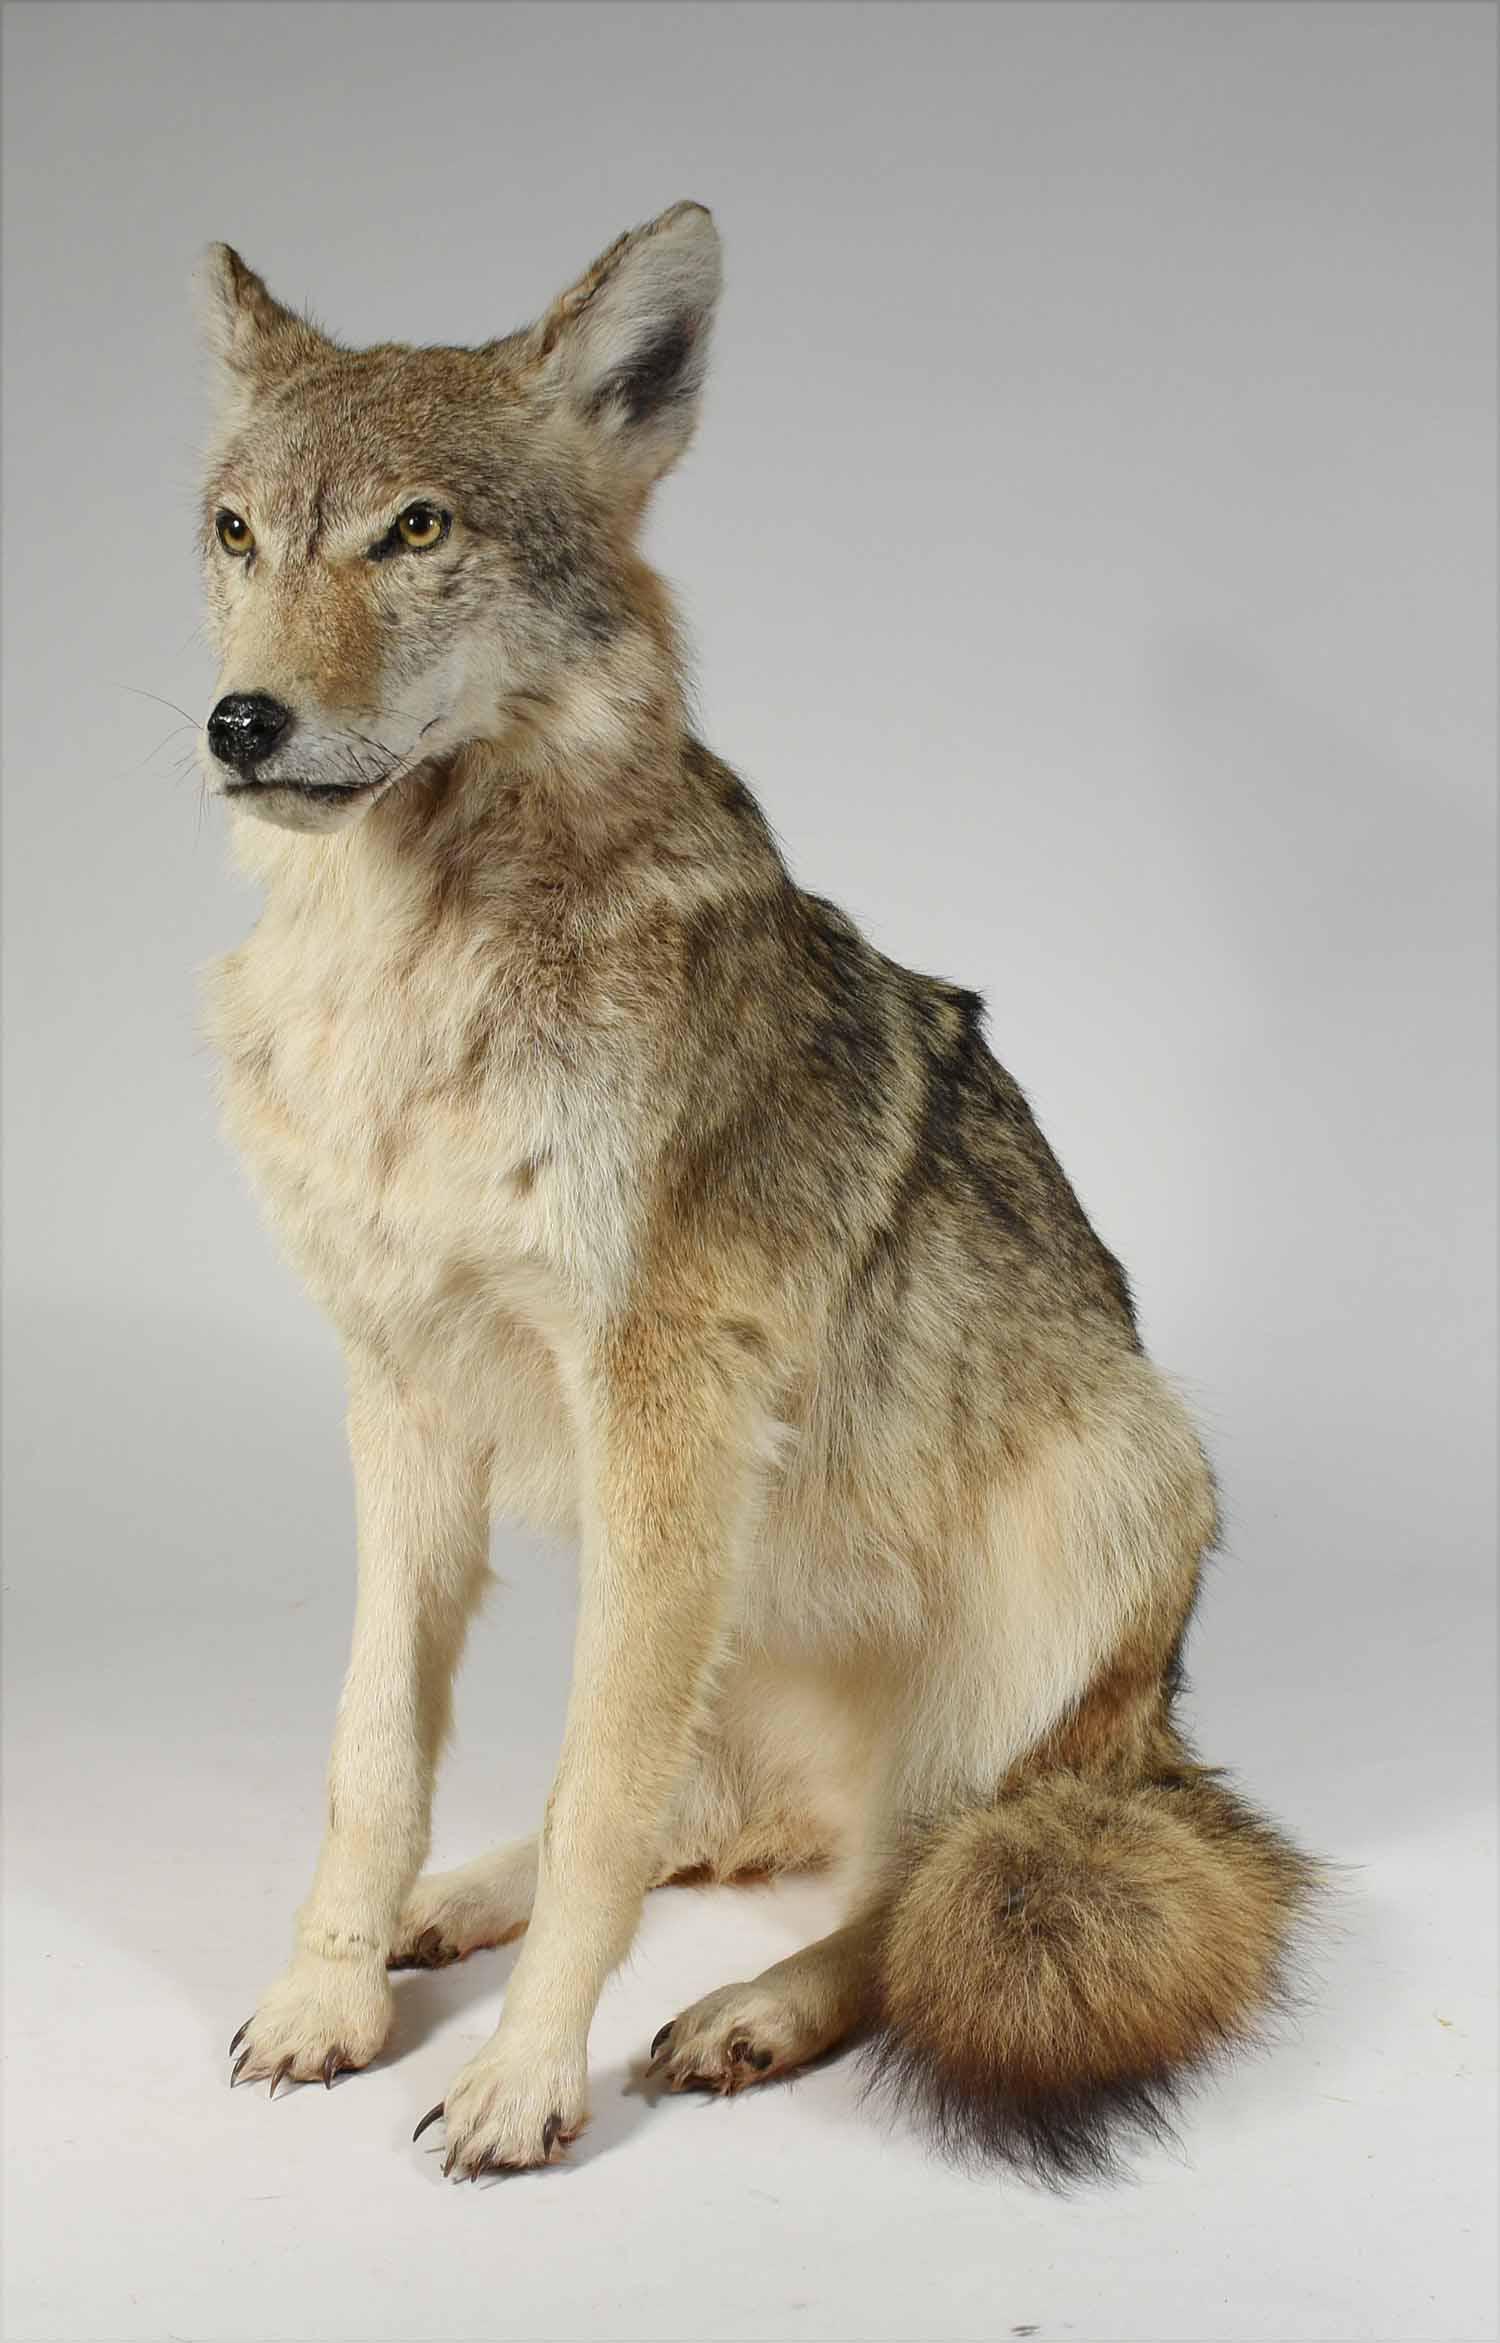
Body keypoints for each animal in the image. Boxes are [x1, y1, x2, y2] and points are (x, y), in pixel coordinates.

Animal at [198, 201, 1314, 2185]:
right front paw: (332, 1992)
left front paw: (522, 2085)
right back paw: (445, 1911)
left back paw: (747, 2011)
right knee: (714, 1818)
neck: (400, 977)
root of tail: (1156, 1749)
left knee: (902, 1890)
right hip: (735, 1607)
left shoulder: (661, 1404)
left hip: (1108, 1490)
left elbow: (599, 1808)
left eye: (417, 531)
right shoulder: (400, 1390)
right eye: (238, 532)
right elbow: (377, 1755)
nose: (240, 720)